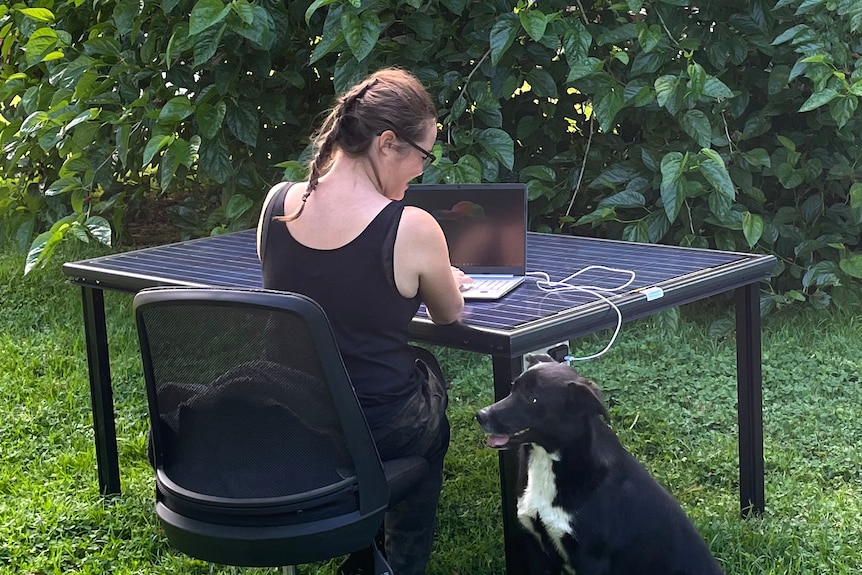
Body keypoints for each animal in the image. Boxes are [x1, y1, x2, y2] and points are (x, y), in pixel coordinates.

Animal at [476, 356, 724, 575]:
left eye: (532, 398)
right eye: (513, 388)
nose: (481, 415)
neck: (549, 460)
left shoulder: (591, 559)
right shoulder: (537, 550)